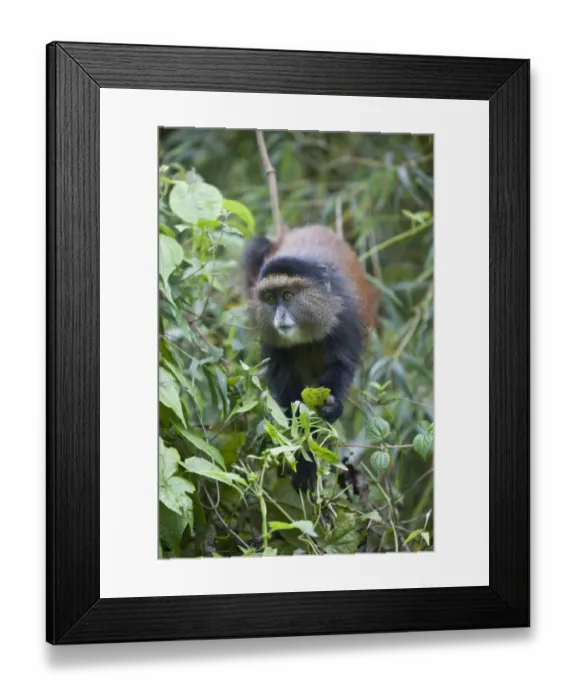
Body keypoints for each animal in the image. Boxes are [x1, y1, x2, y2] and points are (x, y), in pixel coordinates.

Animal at [242, 224, 378, 491]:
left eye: (287, 296)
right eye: (270, 299)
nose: (279, 317)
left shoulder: (343, 316)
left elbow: (341, 364)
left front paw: (332, 407)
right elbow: (287, 392)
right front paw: (304, 462)